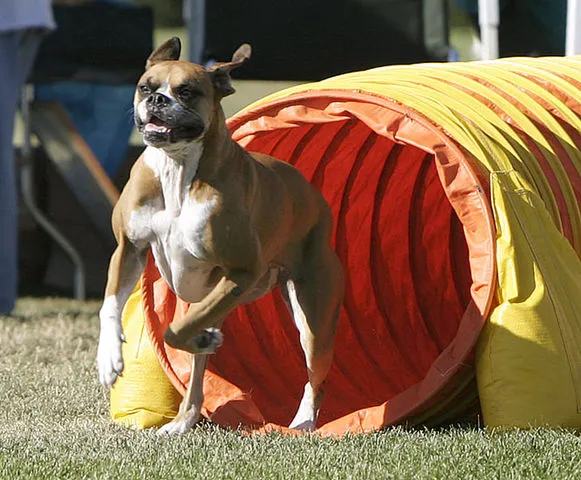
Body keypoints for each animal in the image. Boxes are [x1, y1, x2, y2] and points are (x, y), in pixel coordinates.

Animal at [97, 38, 342, 436]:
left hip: (312, 318)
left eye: (186, 91)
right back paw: (181, 420)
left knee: (315, 376)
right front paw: (108, 359)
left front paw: (196, 338)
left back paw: (304, 421)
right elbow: (110, 305)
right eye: (146, 87)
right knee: (197, 370)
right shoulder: (128, 249)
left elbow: (174, 333)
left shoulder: (242, 270)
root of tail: (315, 199)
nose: (158, 100)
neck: (177, 169)